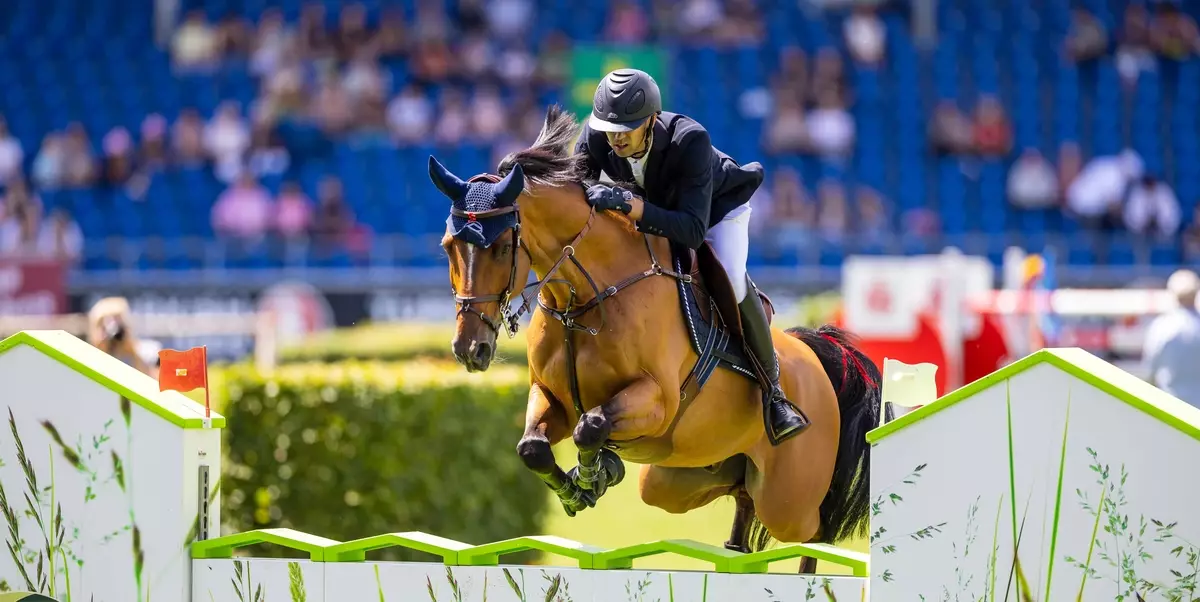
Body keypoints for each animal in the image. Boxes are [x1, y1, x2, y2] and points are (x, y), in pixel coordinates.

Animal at [432, 104, 883, 563]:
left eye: (503, 247)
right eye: (448, 245)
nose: (469, 349)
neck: (583, 302)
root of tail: (815, 358)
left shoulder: (657, 400)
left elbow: (592, 424)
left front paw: (593, 474)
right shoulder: (551, 396)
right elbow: (533, 447)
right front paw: (582, 485)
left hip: (787, 499)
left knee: (816, 531)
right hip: (678, 479)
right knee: (741, 499)